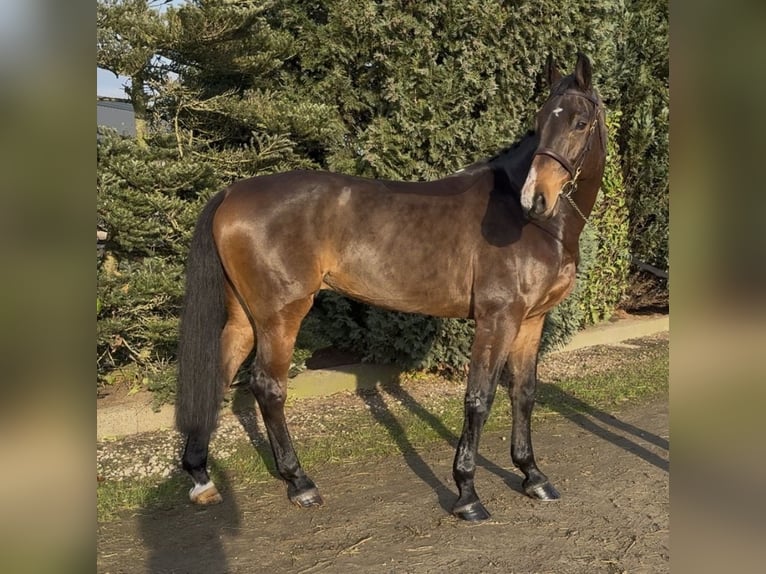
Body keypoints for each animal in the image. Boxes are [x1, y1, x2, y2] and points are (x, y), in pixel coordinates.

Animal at [175, 52, 607, 521]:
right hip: (280, 315)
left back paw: (200, 478)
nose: (537, 198)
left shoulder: (531, 320)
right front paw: (467, 494)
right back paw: (300, 483)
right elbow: (479, 398)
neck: (522, 219)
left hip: (244, 317)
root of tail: (232, 192)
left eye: (580, 122)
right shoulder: (498, 319)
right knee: (267, 388)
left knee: (218, 375)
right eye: (542, 120)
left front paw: (533, 477)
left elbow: (524, 394)